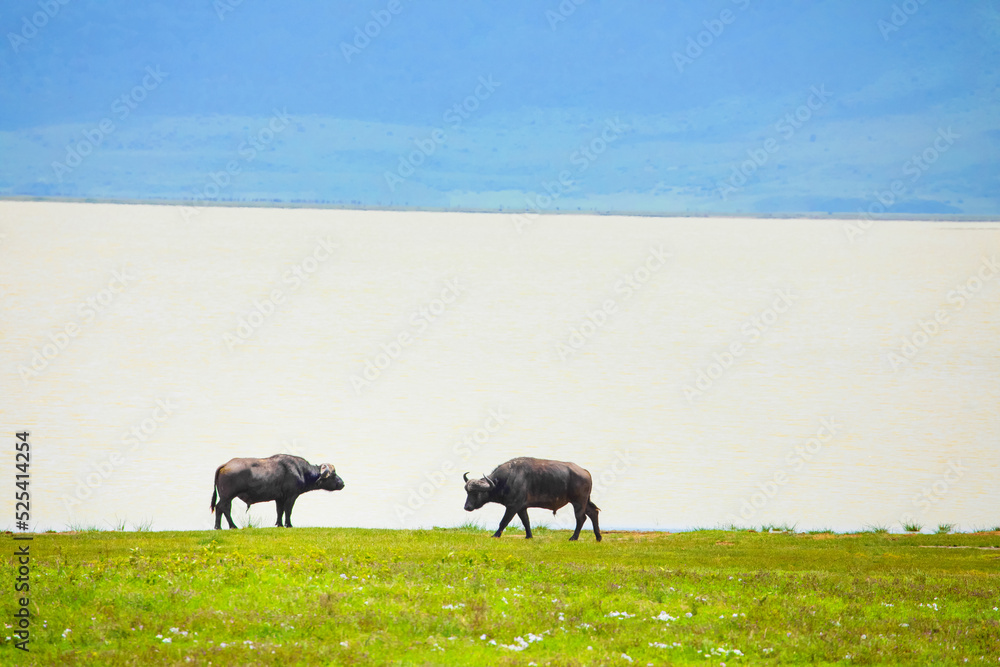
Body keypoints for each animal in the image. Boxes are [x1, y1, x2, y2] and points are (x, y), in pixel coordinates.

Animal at [211, 454, 344, 529]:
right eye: (333, 475)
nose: (342, 483)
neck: (301, 471)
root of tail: (225, 465)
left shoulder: (279, 498)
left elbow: (280, 511)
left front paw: (279, 524)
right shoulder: (291, 496)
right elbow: (288, 510)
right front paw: (288, 524)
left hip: (226, 497)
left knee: (220, 508)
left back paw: (219, 526)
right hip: (228, 496)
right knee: (223, 508)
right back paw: (231, 526)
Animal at [463, 457, 601, 541]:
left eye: (476, 492)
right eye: (467, 492)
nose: (467, 507)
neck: (507, 479)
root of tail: (585, 472)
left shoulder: (512, 506)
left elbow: (504, 521)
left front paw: (495, 535)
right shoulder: (521, 508)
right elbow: (526, 521)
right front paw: (529, 536)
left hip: (578, 502)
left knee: (581, 518)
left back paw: (573, 537)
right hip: (584, 502)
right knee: (593, 513)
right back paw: (598, 537)